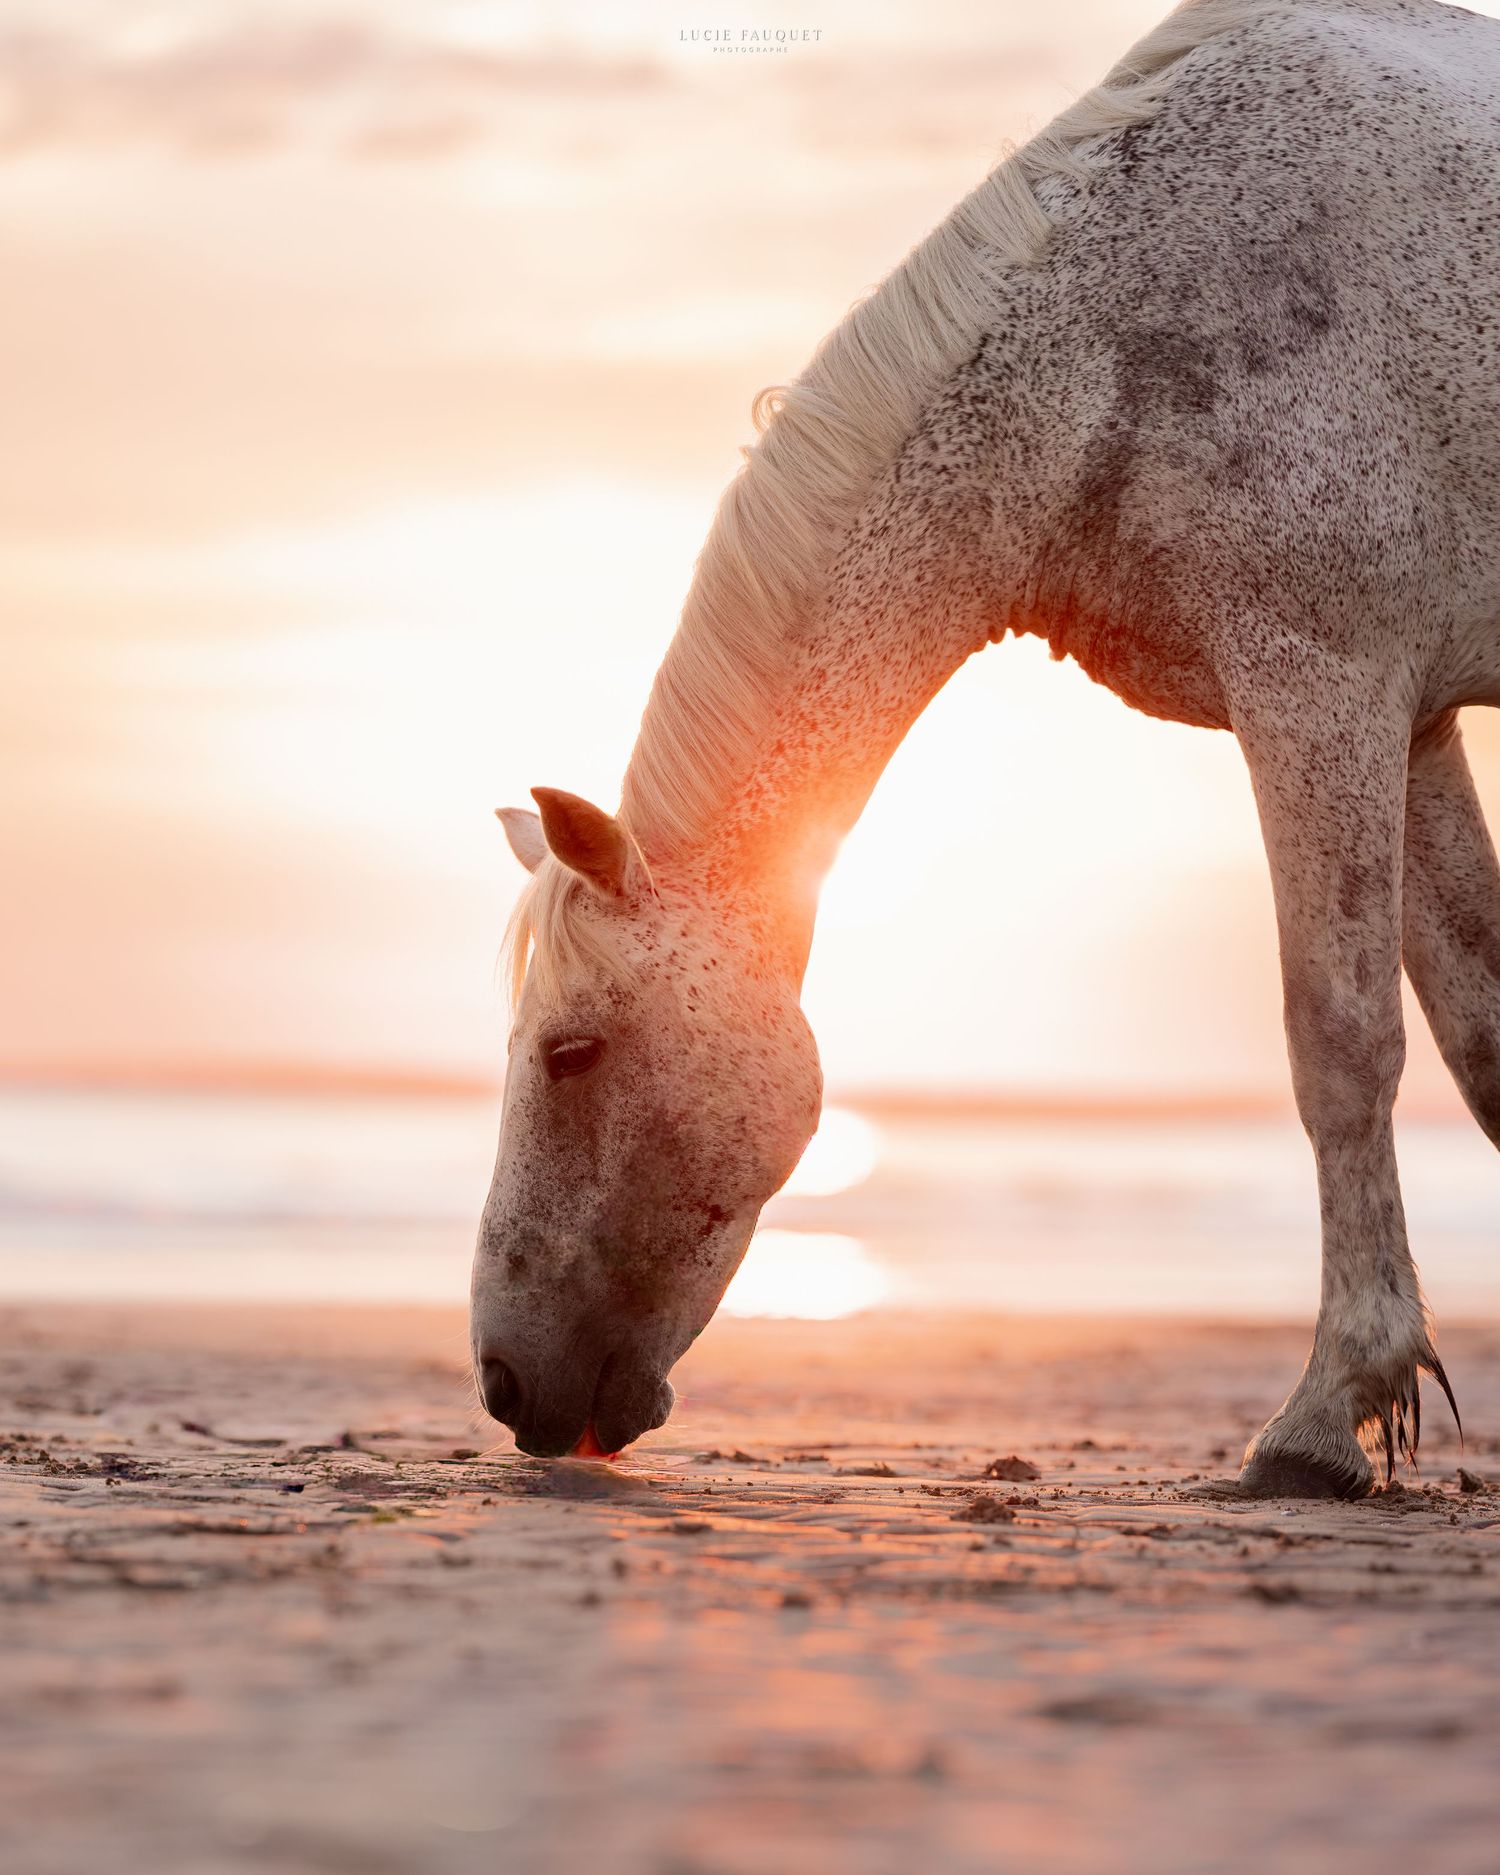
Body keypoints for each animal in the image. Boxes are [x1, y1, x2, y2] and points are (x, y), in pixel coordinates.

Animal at [473, 0, 1500, 1495]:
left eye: (571, 1051)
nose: (504, 1385)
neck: (1126, 322)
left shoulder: (1325, 684)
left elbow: (1343, 1041)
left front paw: (1322, 1417)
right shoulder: (1412, 715)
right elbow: (1485, 1037)